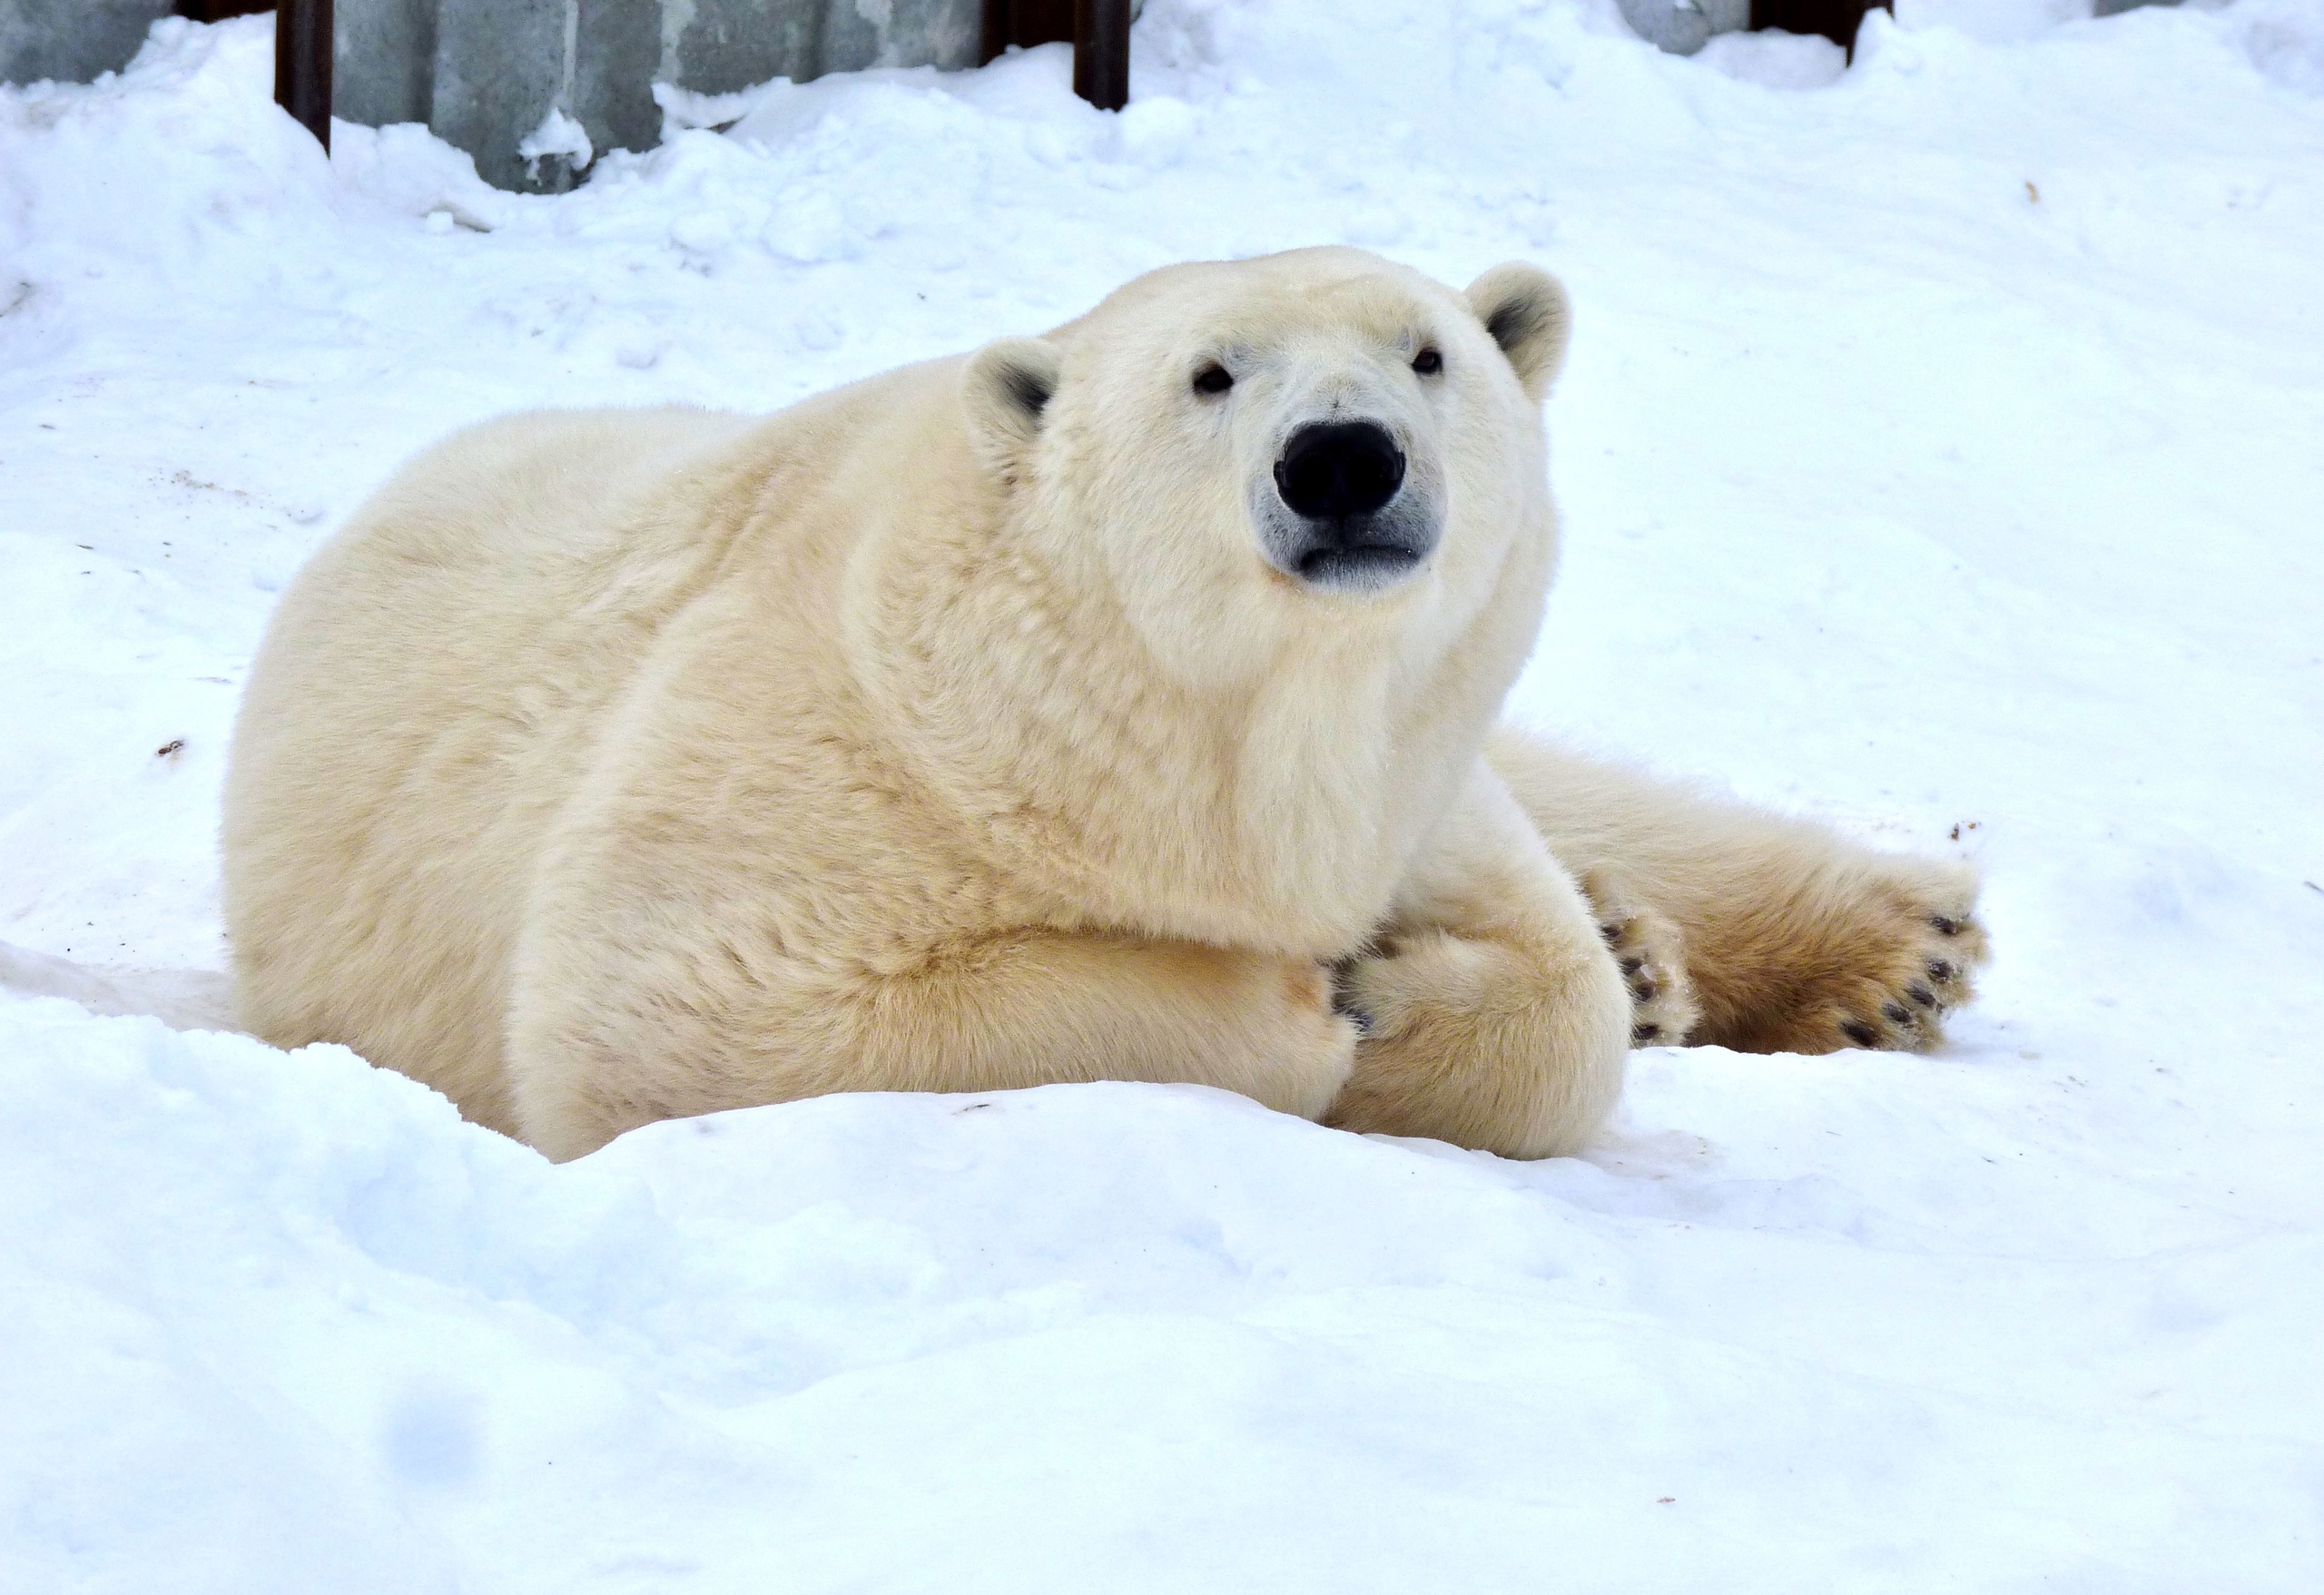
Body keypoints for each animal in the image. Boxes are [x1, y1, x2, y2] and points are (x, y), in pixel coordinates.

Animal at [226, 253, 1989, 1176]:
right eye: (1213, 374)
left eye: (1429, 354)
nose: (1342, 457)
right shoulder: (824, 749)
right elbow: (679, 1011)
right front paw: (1313, 1004)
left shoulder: (1399, 783)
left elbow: (1560, 1002)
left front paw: (1480, 978)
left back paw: (1887, 951)